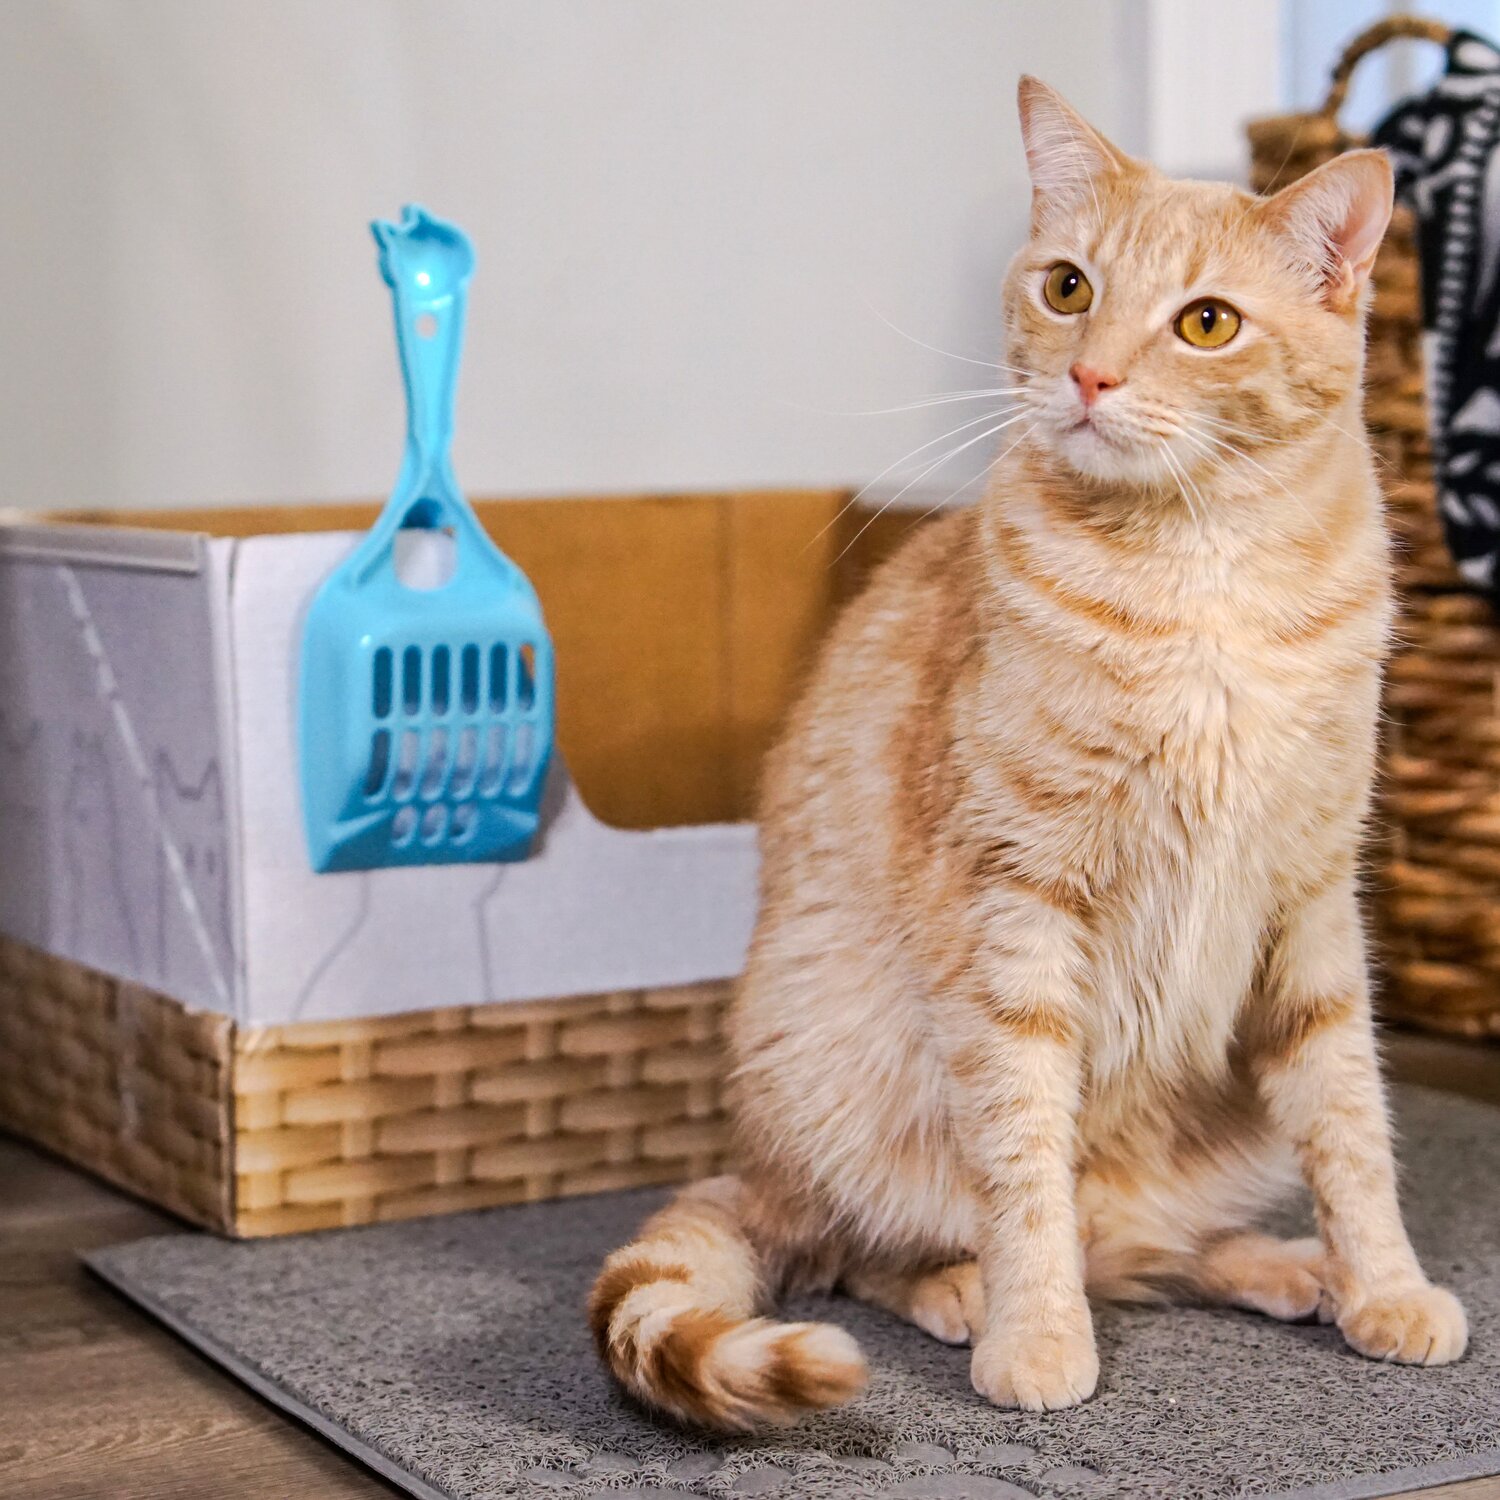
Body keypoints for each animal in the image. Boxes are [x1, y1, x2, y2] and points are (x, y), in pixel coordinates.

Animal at [585, 73, 1464, 1428]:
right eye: (1067, 287)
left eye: (1207, 323)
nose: (1090, 377)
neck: (1206, 583)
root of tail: (757, 1160)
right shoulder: (1015, 903)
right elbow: (1022, 1155)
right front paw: (1035, 1332)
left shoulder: (1314, 905)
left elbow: (1352, 1123)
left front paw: (1383, 1286)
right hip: (830, 1076)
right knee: (864, 1248)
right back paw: (962, 1291)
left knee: (1139, 1244)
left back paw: (1283, 1266)